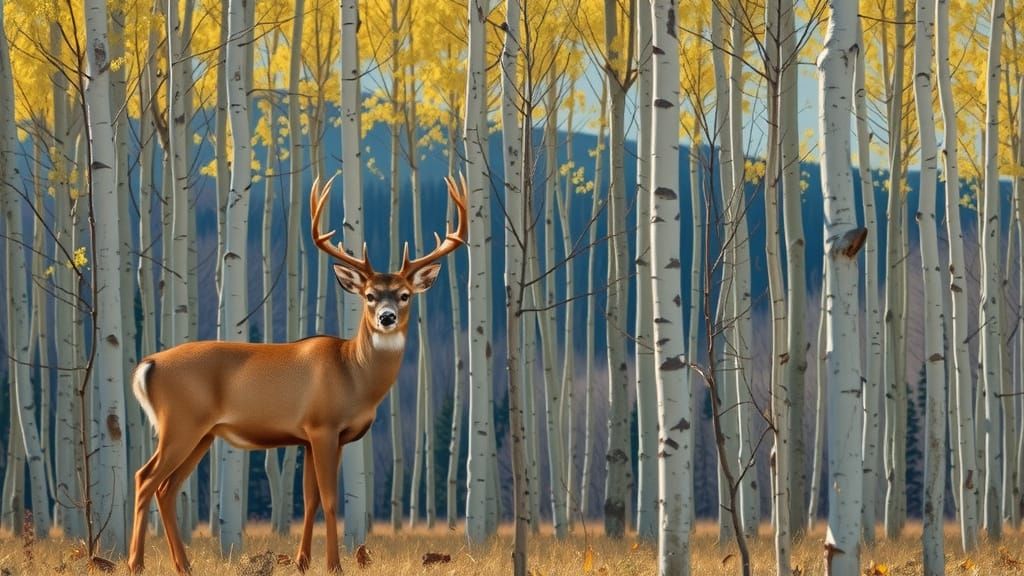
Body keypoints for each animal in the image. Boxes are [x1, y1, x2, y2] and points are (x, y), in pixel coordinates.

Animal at [126, 175, 469, 575]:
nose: (386, 317)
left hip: (202, 434)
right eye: (369, 295)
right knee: (145, 478)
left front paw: (303, 561)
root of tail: (148, 364)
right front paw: (334, 565)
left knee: (166, 488)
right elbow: (331, 500)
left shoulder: (314, 438)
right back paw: (135, 563)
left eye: (404, 295)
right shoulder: (323, 427)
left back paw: (184, 565)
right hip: (180, 423)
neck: (353, 375)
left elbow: (310, 500)